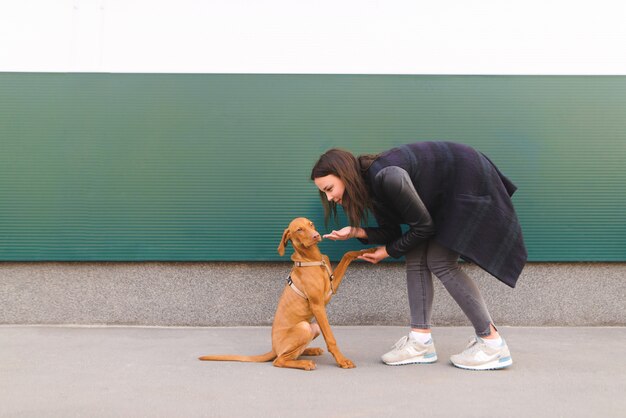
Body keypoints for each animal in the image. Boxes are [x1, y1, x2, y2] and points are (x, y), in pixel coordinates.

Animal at [199, 217, 370, 370]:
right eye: (299, 229)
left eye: (311, 224)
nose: (316, 235)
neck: (313, 259)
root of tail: (274, 348)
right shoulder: (318, 305)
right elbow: (331, 338)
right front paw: (342, 360)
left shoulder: (332, 287)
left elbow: (347, 254)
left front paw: (369, 250)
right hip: (304, 327)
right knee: (280, 360)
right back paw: (305, 363)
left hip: (313, 327)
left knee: (292, 354)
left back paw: (310, 351)